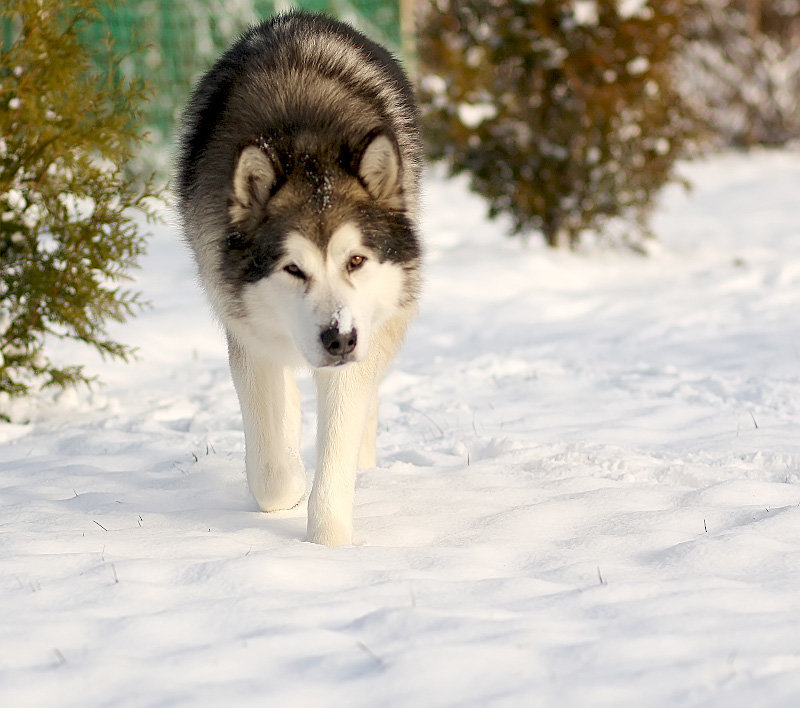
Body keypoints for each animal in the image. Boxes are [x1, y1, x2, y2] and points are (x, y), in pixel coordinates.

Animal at [174, 11, 422, 544]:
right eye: (293, 268)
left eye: (355, 261)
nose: (339, 339)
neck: (305, 140)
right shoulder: (248, 335)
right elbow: (271, 474)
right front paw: (288, 483)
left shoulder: (356, 349)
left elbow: (336, 455)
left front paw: (327, 544)